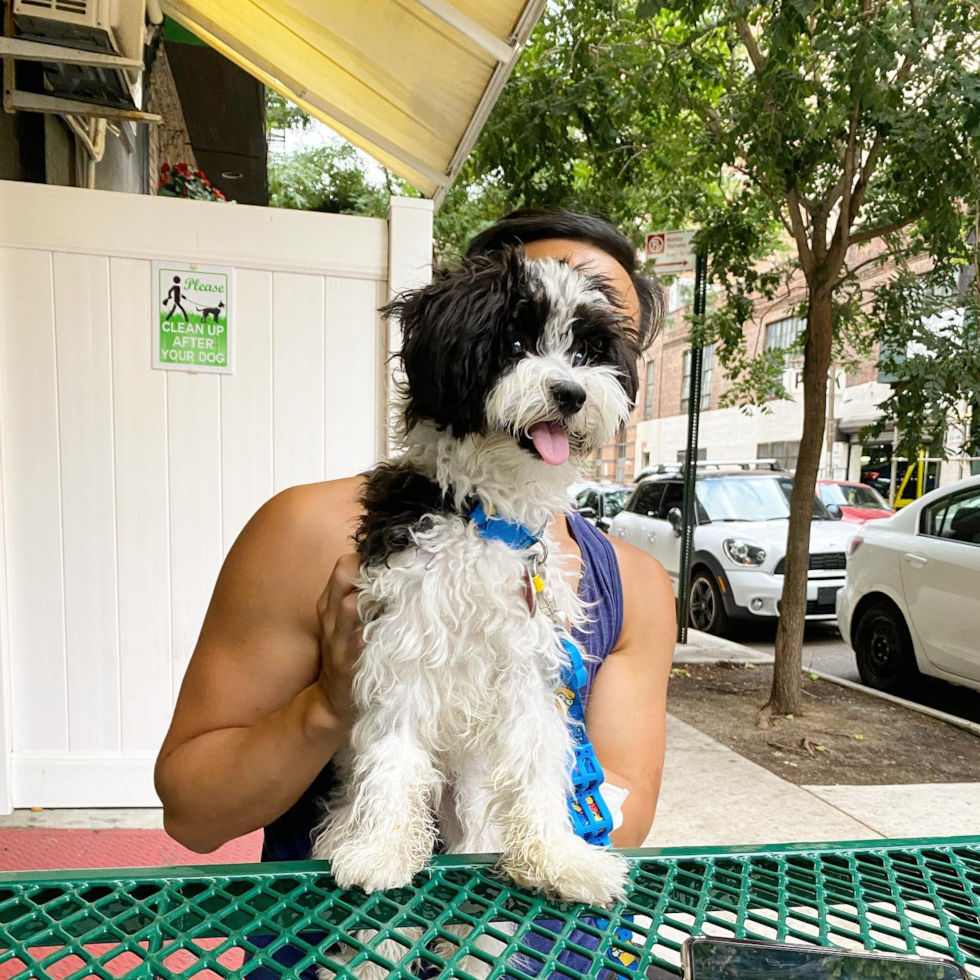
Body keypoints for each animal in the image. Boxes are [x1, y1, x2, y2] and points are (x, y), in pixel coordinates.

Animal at [314, 249, 648, 908]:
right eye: (514, 342)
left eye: (584, 350)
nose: (571, 393)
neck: (484, 517)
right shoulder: (403, 640)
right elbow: (395, 753)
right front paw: (382, 849)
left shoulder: (528, 663)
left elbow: (539, 759)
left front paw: (556, 855)